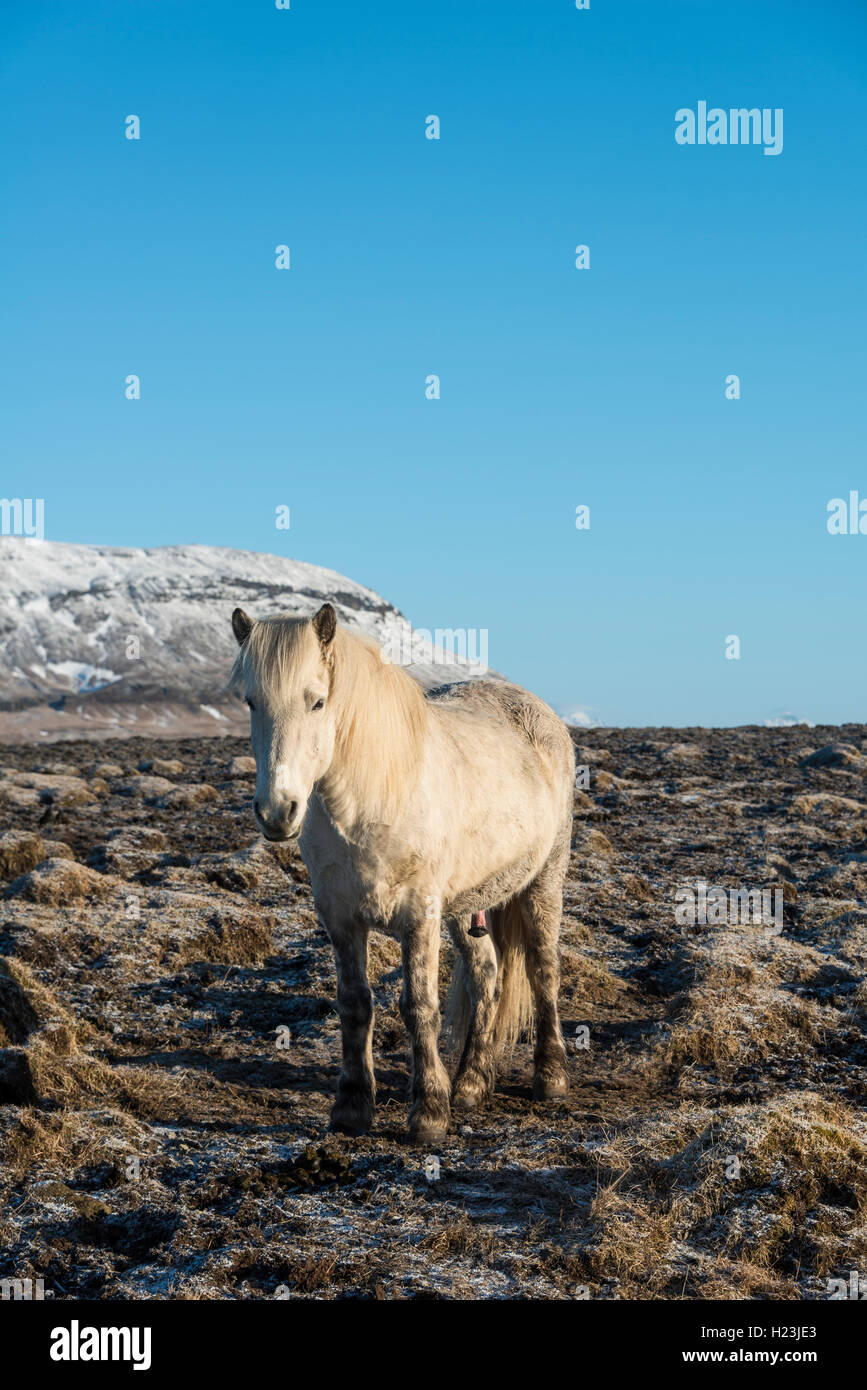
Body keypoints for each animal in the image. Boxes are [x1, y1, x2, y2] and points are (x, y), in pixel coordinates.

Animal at [232, 606, 575, 1139]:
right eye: (251, 702)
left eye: (317, 702)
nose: (276, 812)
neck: (369, 800)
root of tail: (538, 711)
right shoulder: (340, 917)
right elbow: (354, 1004)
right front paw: (352, 1107)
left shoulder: (420, 915)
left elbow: (419, 1007)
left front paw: (429, 1113)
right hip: (467, 906)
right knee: (487, 975)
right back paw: (471, 1084)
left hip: (543, 882)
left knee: (543, 971)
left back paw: (550, 1079)